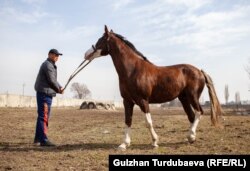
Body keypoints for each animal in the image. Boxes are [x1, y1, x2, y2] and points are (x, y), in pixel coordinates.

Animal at [84, 25, 223, 150]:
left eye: (100, 40)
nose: (86, 54)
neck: (132, 70)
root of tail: (200, 71)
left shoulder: (143, 101)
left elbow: (148, 122)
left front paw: (155, 142)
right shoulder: (127, 101)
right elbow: (128, 120)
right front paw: (124, 144)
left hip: (193, 96)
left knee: (199, 112)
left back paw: (191, 136)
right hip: (183, 98)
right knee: (191, 116)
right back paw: (191, 138)